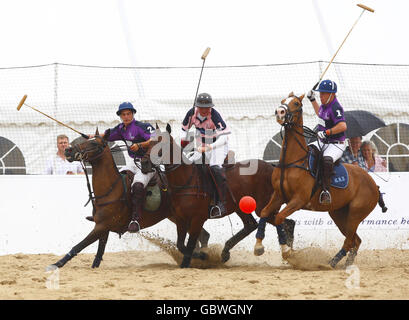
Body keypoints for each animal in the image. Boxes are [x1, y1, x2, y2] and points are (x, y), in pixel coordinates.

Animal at [47, 128, 212, 270]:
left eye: (94, 143)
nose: (68, 150)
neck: (111, 188)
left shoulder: (101, 226)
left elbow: (79, 246)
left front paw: (56, 264)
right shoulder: (103, 227)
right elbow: (99, 252)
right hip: (179, 216)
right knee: (202, 235)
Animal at [142, 124, 294, 268]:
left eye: (162, 143)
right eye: (148, 142)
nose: (144, 163)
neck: (186, 181)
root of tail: (272, 167)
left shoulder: (197, 218)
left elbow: (189, 245)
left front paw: (199, 256)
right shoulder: (180, 219)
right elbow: (181, 245)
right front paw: (199, 256)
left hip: (261, 206)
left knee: (282, 221)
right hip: (241, 207)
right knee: (254, 225)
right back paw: (226, 252)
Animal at [252, 92, 386, 268]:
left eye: (296, 103)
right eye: (283, 101)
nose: (280, 112)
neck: (292, 161)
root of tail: (373, 183)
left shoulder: (298, 200)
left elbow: (279, 217)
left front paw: (287, 251)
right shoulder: (279, 195)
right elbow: (265, 212)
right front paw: (258, 246)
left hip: (356, 213)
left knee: (349, 240)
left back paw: (331, 263)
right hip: (339, 213)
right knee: (355, 240)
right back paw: (345, 263)